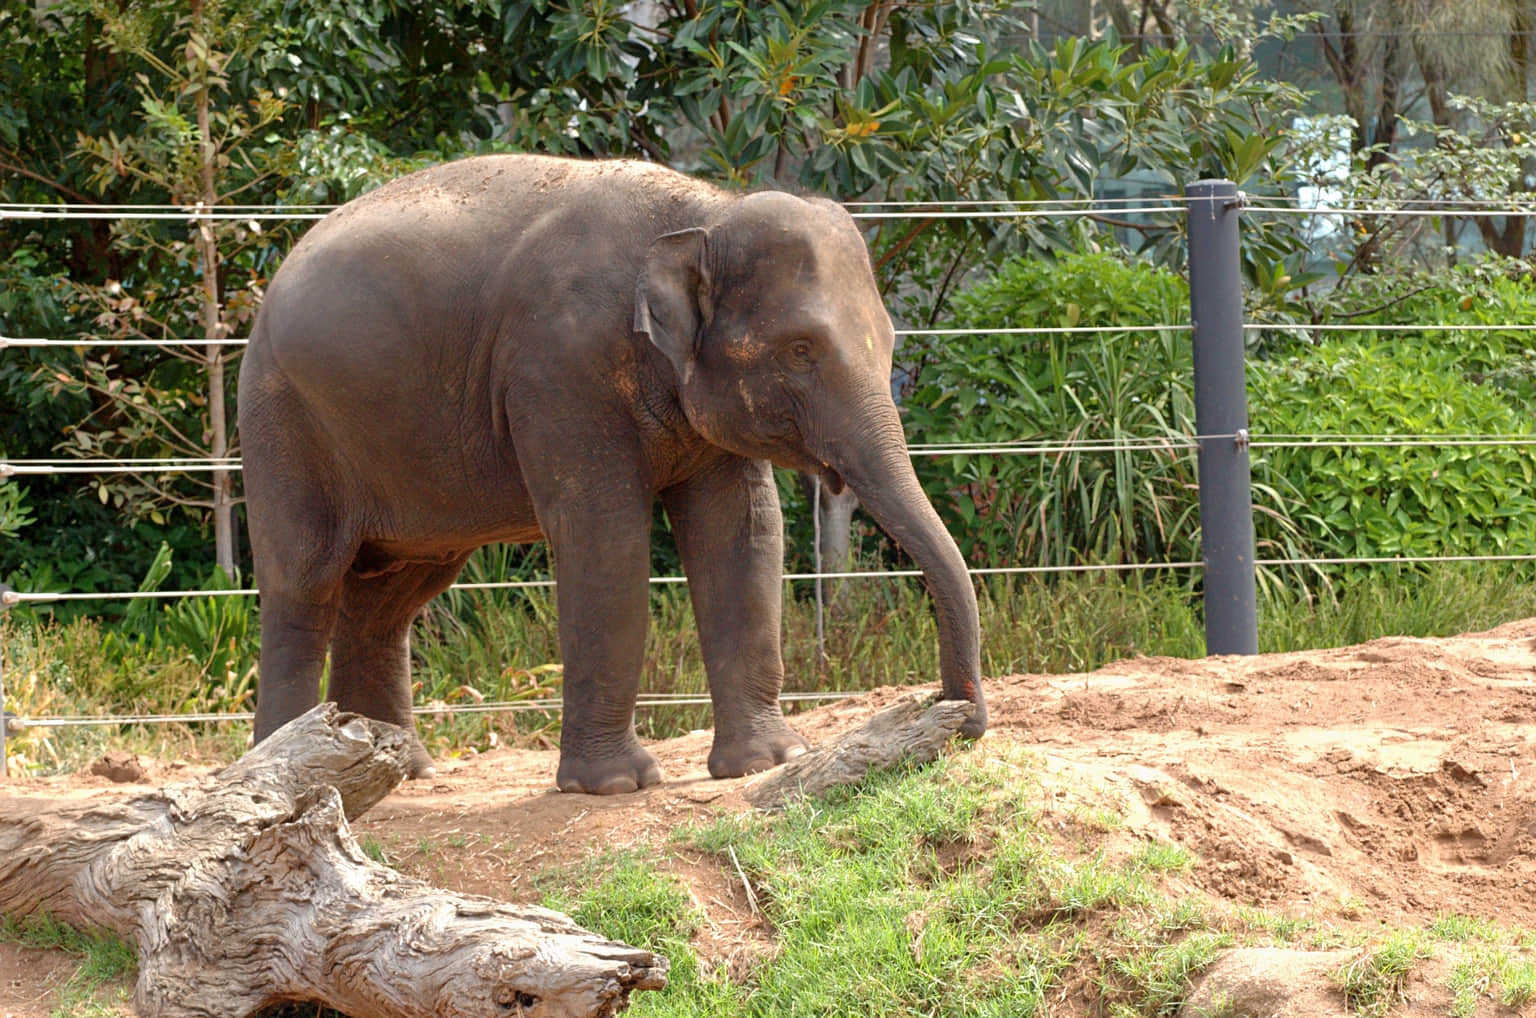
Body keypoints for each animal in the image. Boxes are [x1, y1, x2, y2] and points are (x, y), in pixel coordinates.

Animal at [238, 153, 987, 795]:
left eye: (888, 340)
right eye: (800, 350)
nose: (962, 721)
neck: (704, 213)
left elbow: (743, 533)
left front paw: (767, 761)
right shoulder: (559, 369)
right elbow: (606, 539)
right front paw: (615, 785)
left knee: (393, 595)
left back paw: (400, 771)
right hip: (282, 421)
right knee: (304, 583)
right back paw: (284, 773)